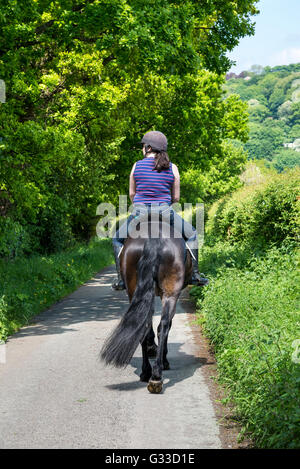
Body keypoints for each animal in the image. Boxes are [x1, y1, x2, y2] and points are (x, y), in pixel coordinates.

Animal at [100, 218, 192, 392]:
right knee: (163, 325)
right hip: (171, 293)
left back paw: (148, 373)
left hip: (133, 290)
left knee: (144, 326)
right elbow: (165, 326)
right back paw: (156, 374)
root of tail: (153, 237)